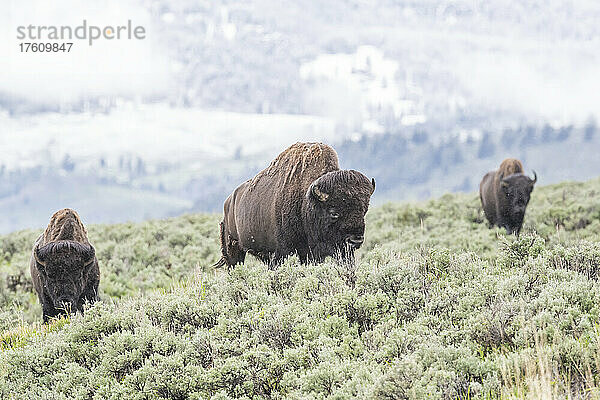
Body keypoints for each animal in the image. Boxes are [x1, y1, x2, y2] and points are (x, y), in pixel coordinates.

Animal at [216, 142, 376, 268]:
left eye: (364, 210)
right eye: (334, 212)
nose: (356, 240)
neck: (308, 202)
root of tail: (228, 202)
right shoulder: (284, 253)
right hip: (234, 249)